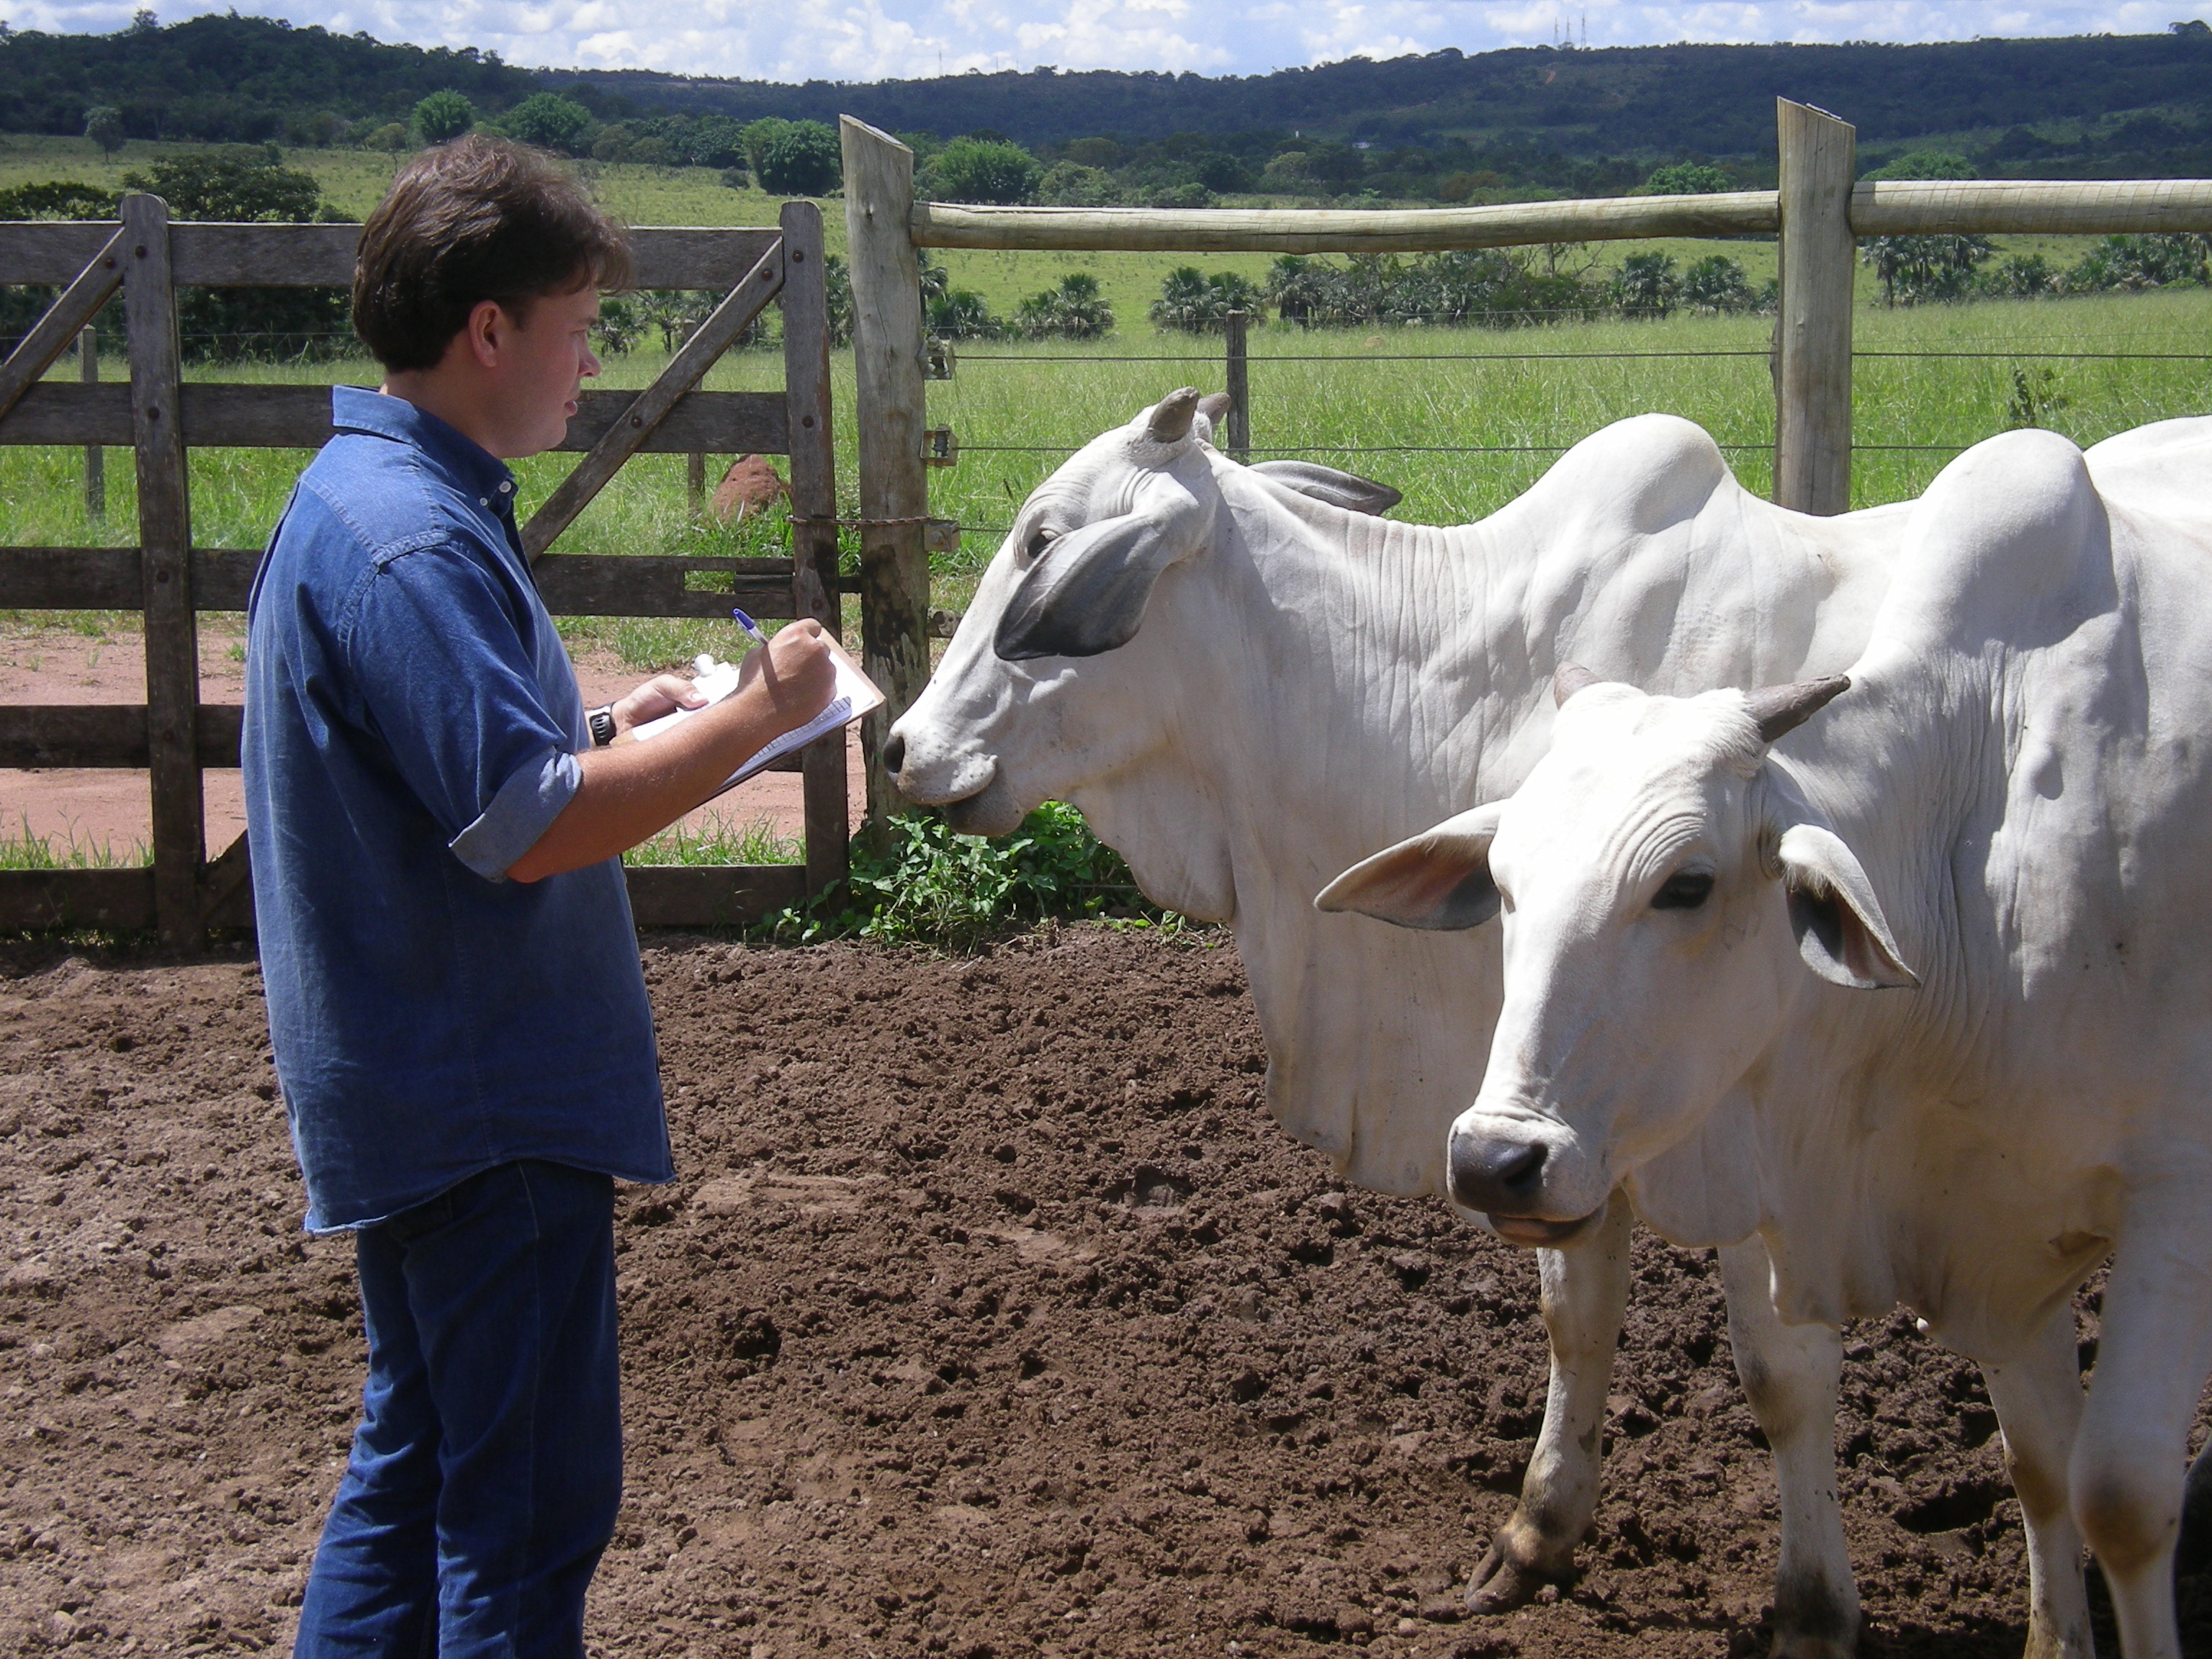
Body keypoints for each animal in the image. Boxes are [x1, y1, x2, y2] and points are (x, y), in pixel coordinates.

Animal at [889, 387, 1928, 1654]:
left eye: (1044, 535)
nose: (900, 747)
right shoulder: (1551, 1115)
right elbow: (1575, 1319)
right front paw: (1536, 1538)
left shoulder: (1747, 1127)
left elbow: (1785, 1375)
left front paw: (1816, 1607)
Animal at [1318, 418, 2212, 1659]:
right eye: (1502, 886)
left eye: (1687, 884)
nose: (1496, 1159)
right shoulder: (1991, 1217)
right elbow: (2033, 1463)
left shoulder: (2178, 1197)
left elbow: (2120, 1495)